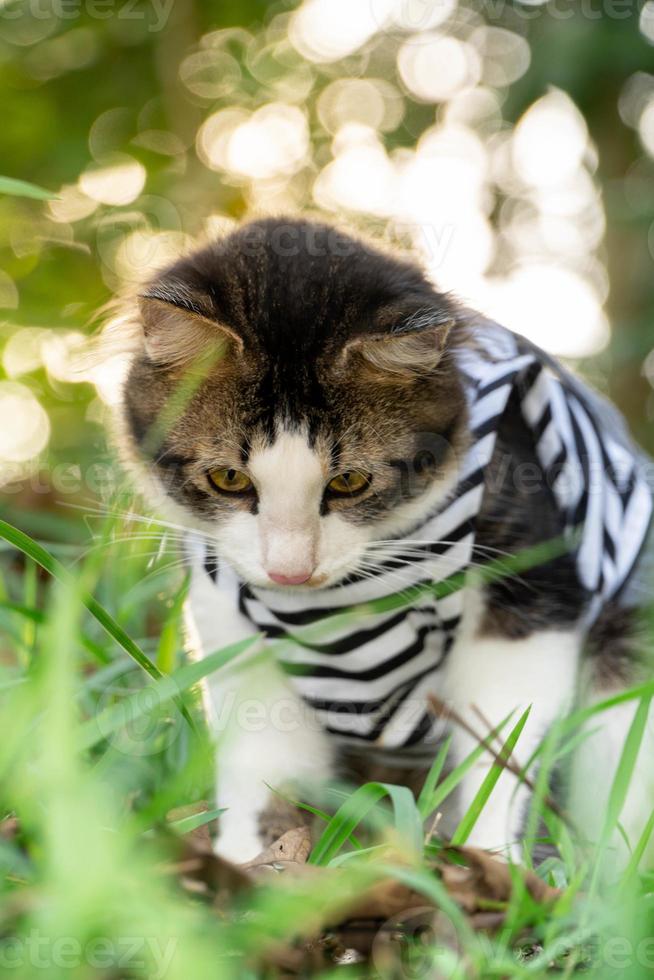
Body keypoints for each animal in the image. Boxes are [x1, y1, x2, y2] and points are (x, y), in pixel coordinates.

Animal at [115, 216, 654, 864]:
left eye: (350, 482)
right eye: (229, 479)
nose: (290, 571)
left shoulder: (530, 593)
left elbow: (502, 750)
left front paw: (492, 859)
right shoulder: (230, 615)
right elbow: (258, 768)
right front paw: (251, 863)